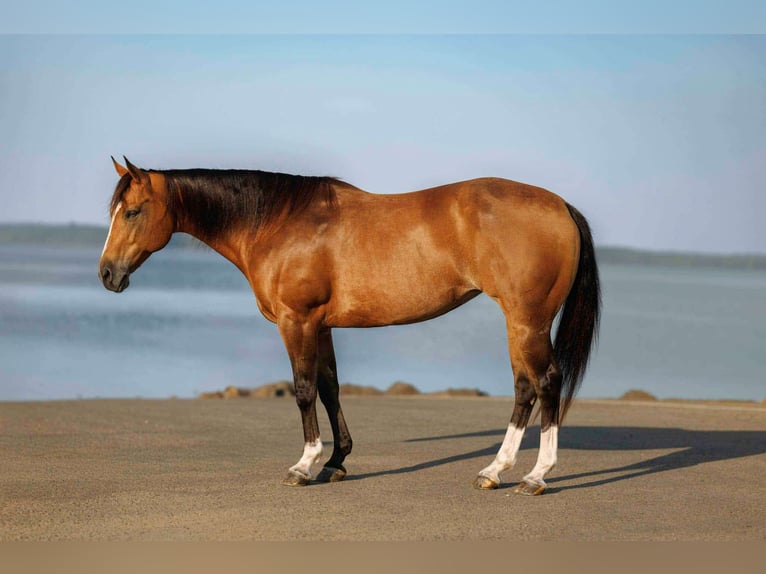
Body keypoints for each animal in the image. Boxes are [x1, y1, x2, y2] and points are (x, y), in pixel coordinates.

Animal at [99, 156, 600, 495]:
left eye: (133, 211)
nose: (106, 274)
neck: (279, 222)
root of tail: (560, 206)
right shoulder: (321, 326)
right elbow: (329, 388)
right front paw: (335, 462)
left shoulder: (296, 321)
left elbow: (303, 390)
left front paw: (303, 465)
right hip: (519, 323)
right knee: (525, 388)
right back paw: (494, 471)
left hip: (527, 321)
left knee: (546, 382)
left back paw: (535, 476)